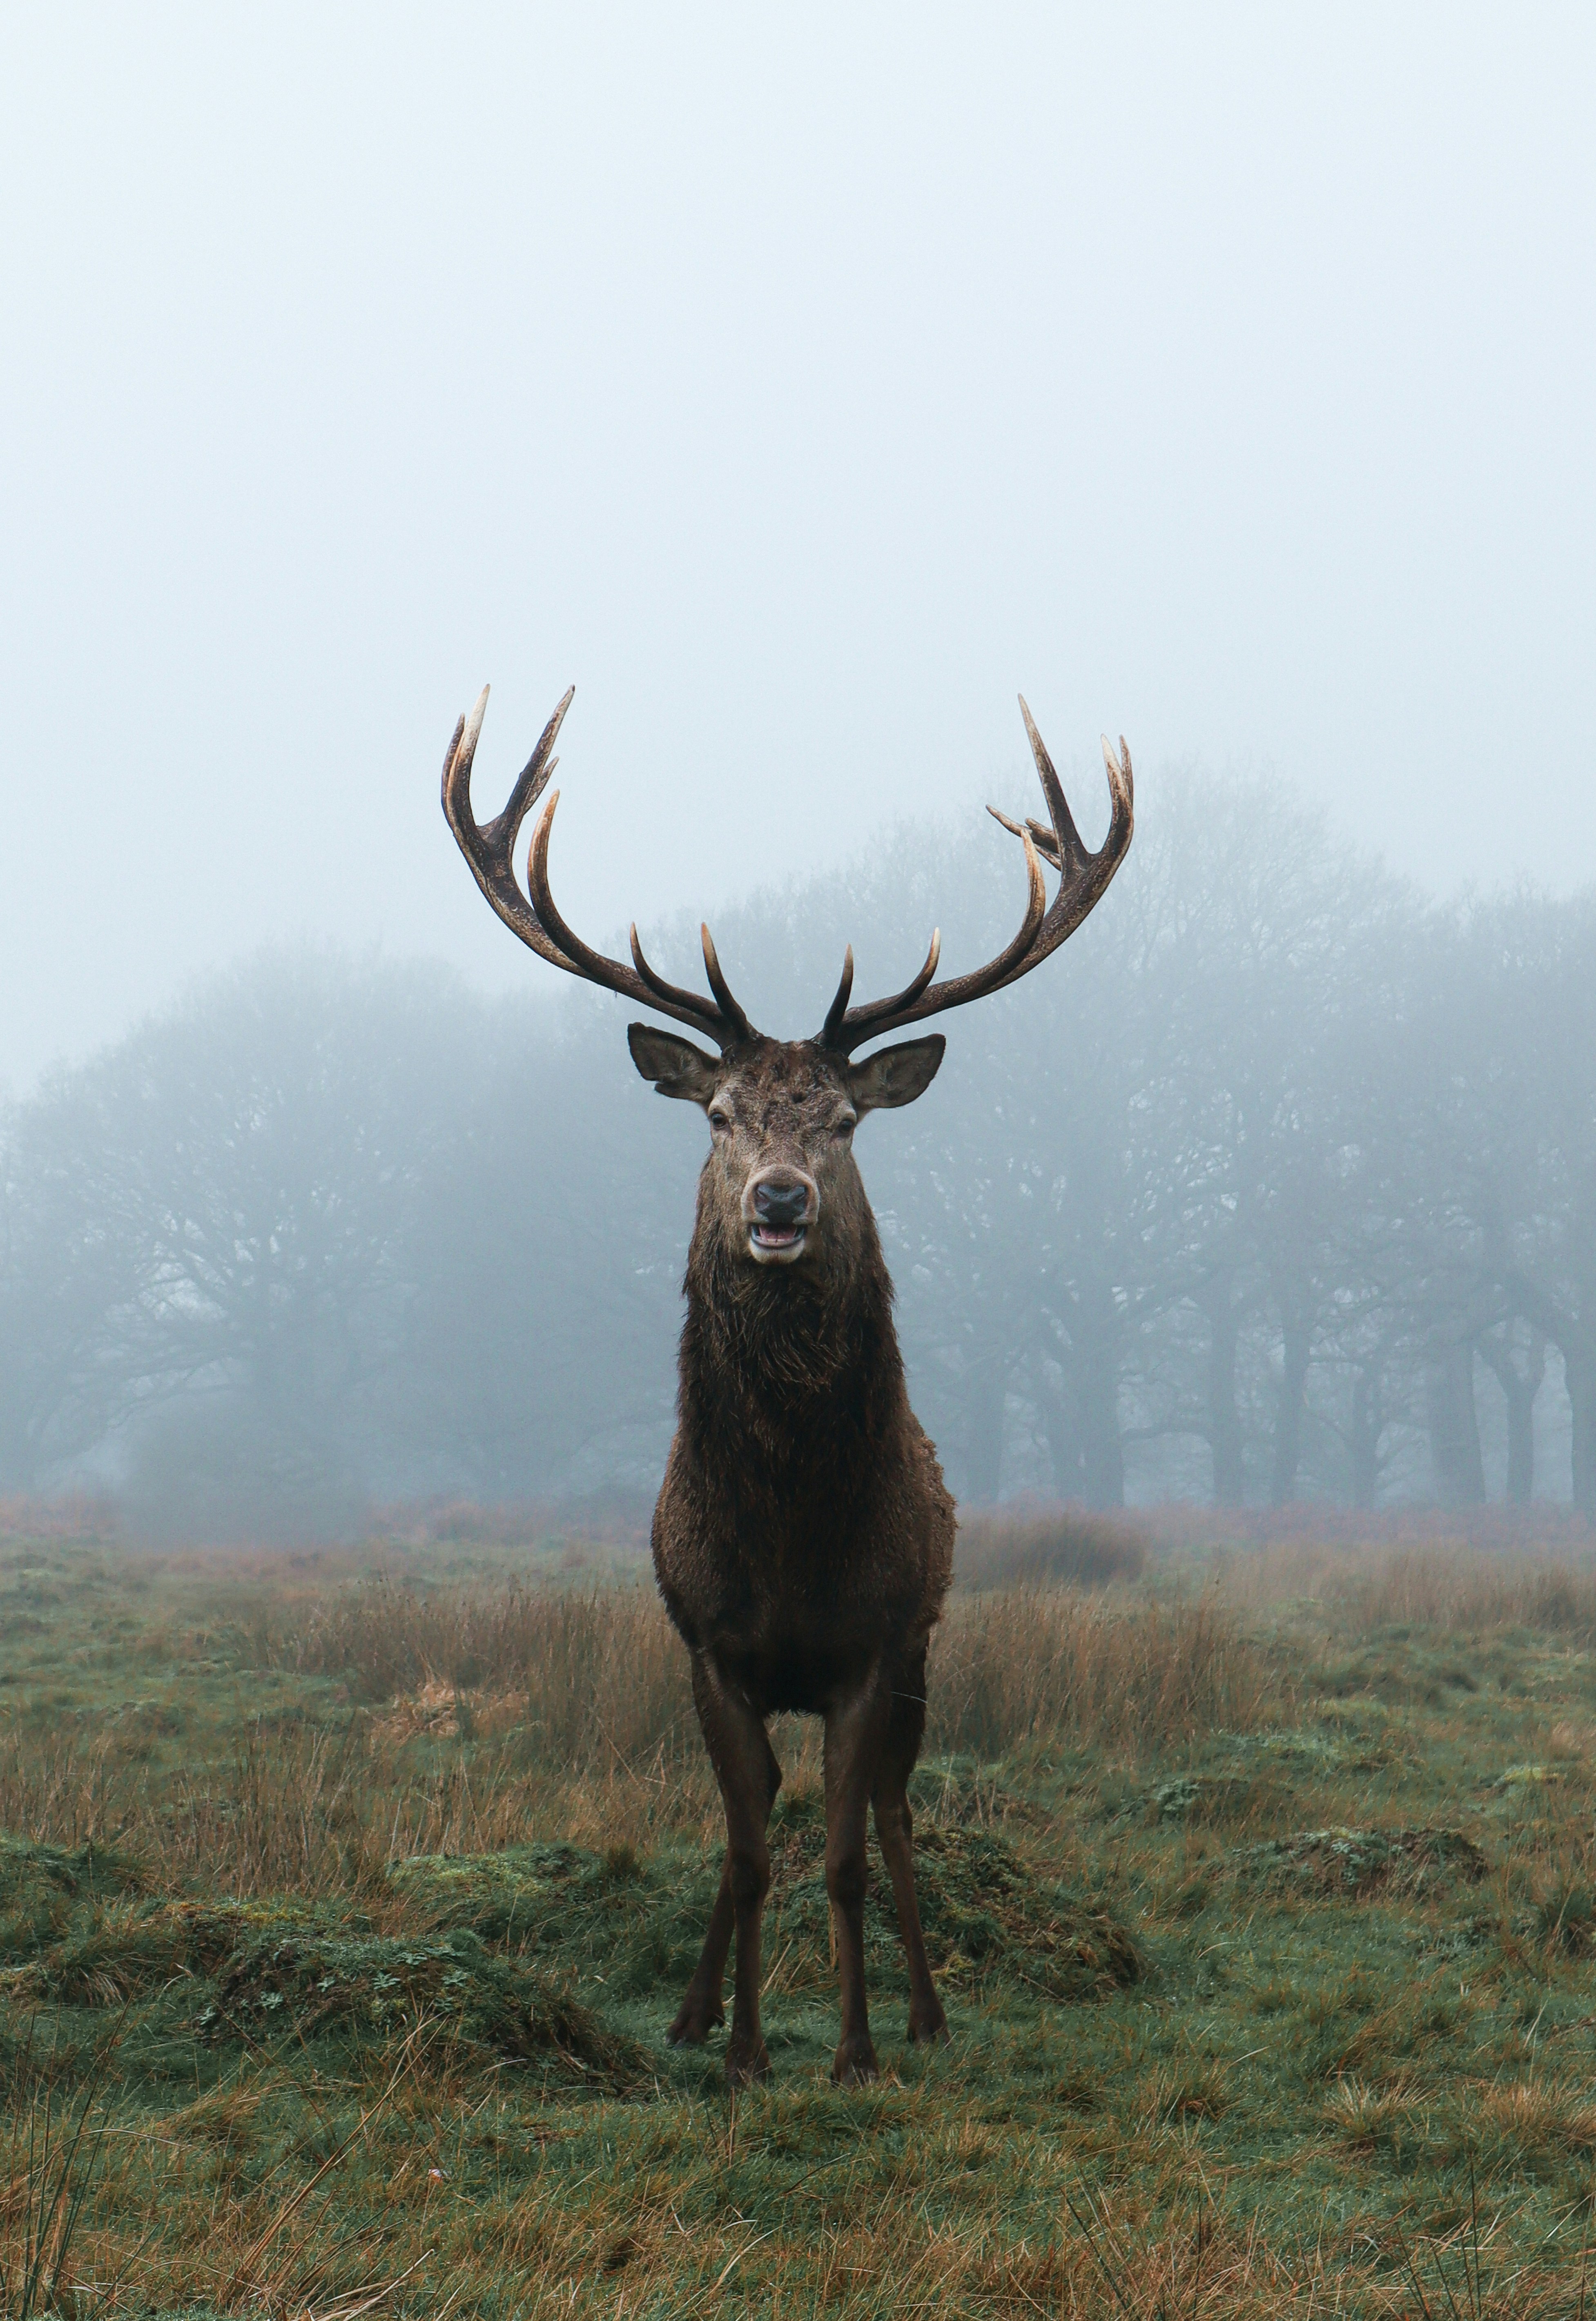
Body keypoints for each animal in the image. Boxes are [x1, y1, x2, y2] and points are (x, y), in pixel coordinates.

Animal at [442, 683, 1132, 2086]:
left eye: (845, 1121)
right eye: (716, 1115)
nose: (777, 1202)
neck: (790, 1536)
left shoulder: (873, 1643)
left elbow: (848, 1854)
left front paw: (857, 2047)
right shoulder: (711, 1646)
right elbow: (754, 1848)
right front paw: (744, 2049)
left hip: (924, 1650)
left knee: (897, 1811)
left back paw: (923, 2013)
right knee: (751, 1819)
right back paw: (694, 2012)